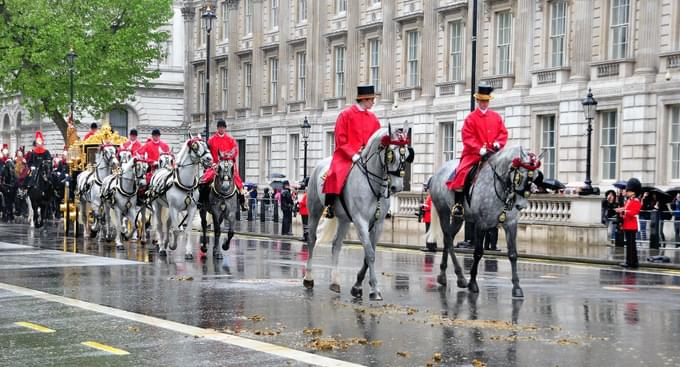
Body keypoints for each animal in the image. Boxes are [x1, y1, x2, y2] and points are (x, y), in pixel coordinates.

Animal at [304, 126, 412, 302]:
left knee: (336, 244)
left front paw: (357, 286)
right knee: (312, 240)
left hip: (344, 220)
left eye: (407, 154)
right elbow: (370, 254)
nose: (397, 187)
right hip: (314, 210)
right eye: (391, 155)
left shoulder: (378, 223)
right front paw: (375, 289)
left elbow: (369, 254)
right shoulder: (360, 221)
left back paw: (335, 282)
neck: (374, 186)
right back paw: (308, 278)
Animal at [430, 146, 540, 300]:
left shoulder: (510, 224)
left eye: (535, 177)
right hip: (443, 212)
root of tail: (438, 172)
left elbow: (513, 254)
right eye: (519, 177)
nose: (520, 205)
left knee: (448, 239)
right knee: (448, 239)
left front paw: (517, 287)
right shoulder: (481, 224)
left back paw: (443, 276)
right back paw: (460, 277)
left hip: (458, 218)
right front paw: (472, 283)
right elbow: (478, 252)